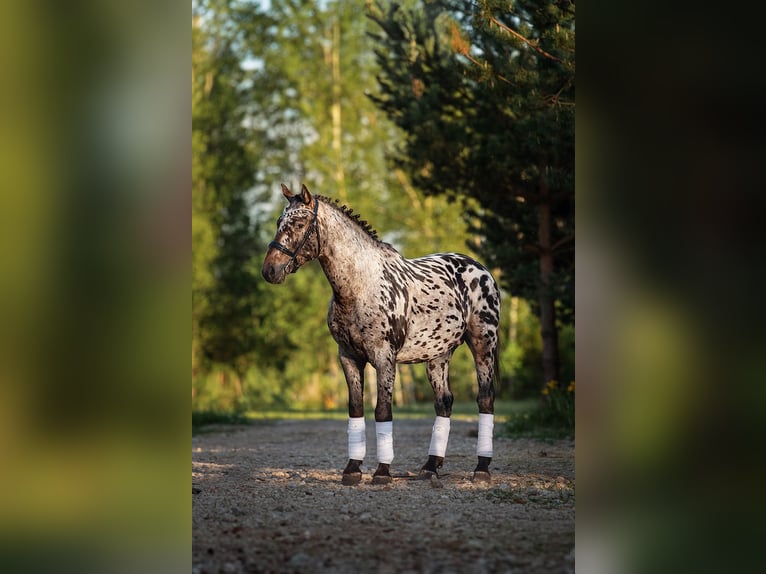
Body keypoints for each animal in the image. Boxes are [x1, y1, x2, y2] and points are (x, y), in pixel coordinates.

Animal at [262, 183, 504, 486]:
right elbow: (356, 408)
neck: (360, 286)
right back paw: (431, 467)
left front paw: (382, 472)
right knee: (444, 402)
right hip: (438, 355)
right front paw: (352, 469)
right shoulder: (349, 357)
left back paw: (481, 469)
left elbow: (382, 410)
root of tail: (481, 270)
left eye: (299, 223)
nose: (270, 271)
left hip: (483, 344)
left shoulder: (384, 357)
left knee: (486, 398)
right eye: (278, 222)